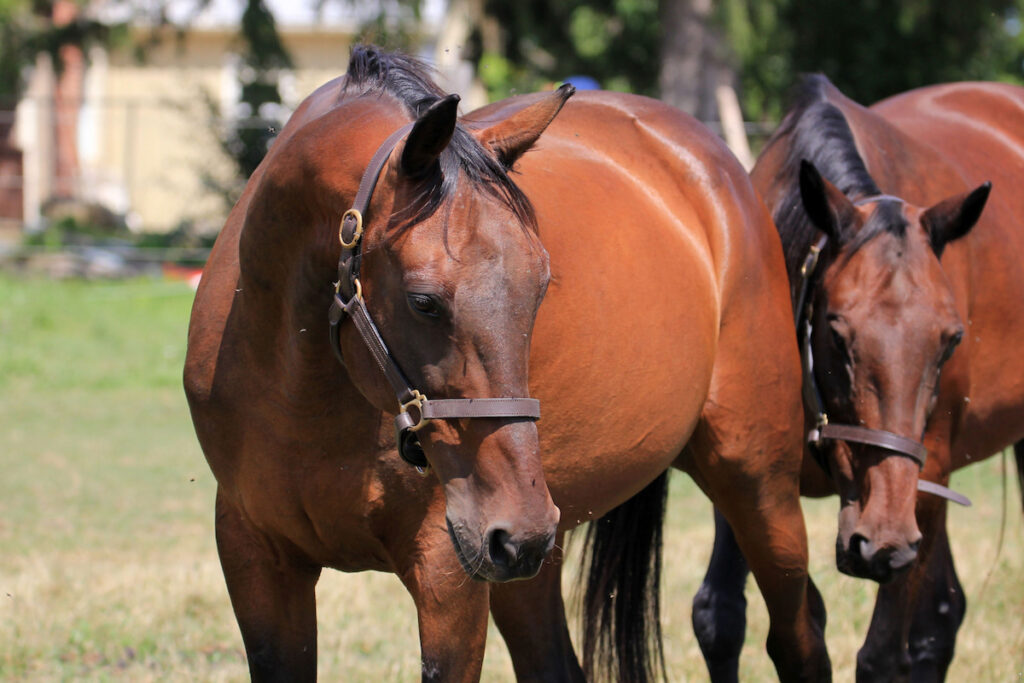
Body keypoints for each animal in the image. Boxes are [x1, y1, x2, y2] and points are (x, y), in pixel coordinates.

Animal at [184, 45, 827, 679]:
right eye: (424, 301)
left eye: (541, 287)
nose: (518, 530)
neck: (302, 390)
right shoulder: (255, 558)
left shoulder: (448, 574)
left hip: (752, 486)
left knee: (799, 632)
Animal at [692, 72, 1019, 679]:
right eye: (837, 331)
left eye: (952, 340)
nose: (882, 539)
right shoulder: (742, 472)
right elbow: (720, 616)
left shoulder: (923, 478)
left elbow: (883, 652)